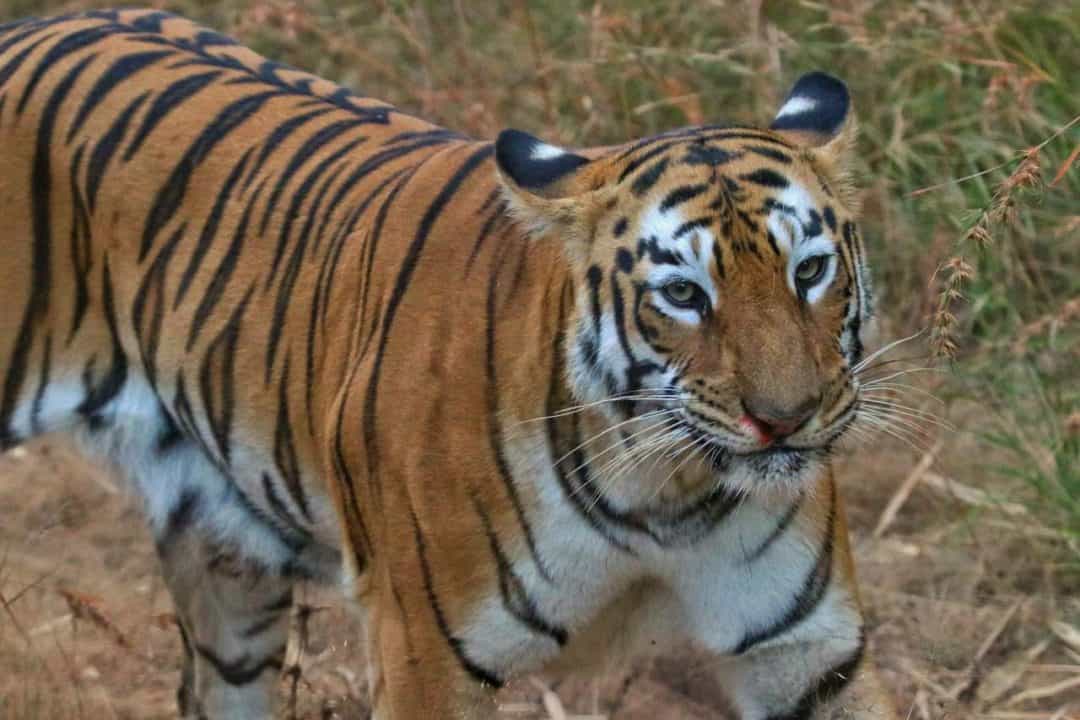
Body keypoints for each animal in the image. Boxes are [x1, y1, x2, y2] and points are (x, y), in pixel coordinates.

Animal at [0, 7, 898, 720]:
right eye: (683, 293)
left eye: (809, 271)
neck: (666, 498)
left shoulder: (806, 658)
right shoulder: (426, 655)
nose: (785, 418)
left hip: (228, 569)